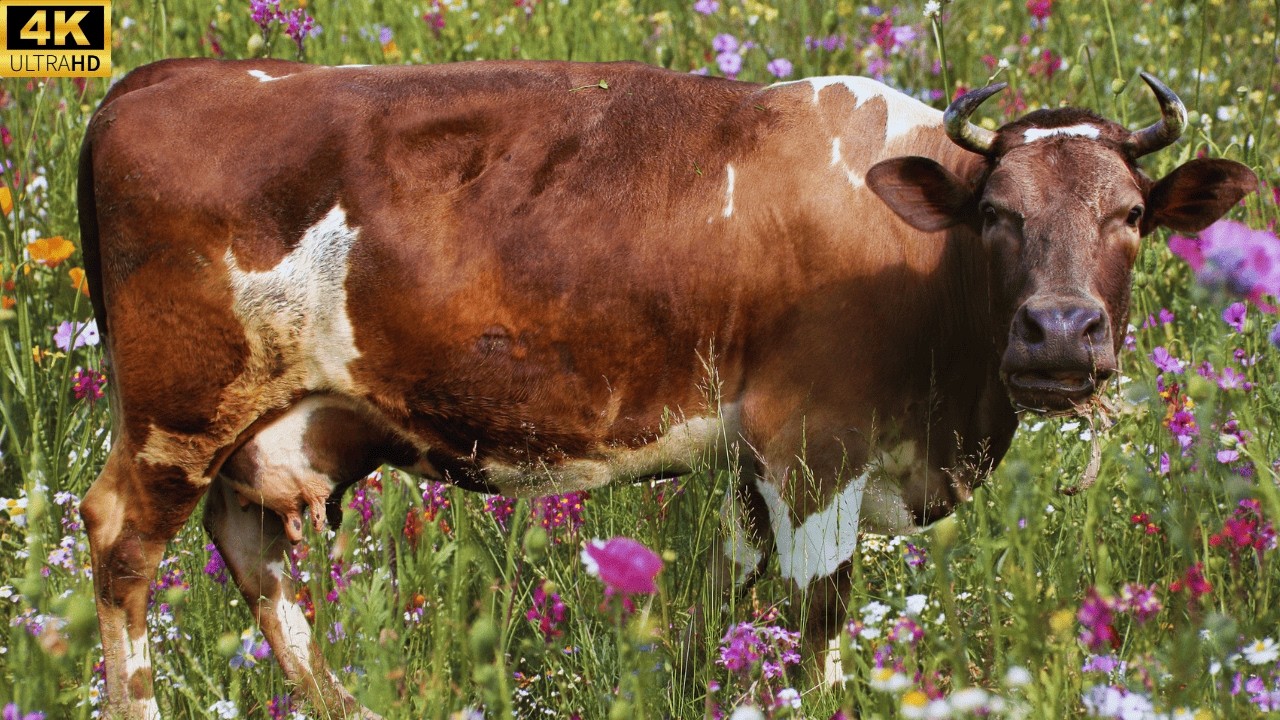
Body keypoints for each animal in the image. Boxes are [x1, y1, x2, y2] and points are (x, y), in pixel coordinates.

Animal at [77, 58, 1256, 719]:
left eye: (1130, 215)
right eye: (998, 213)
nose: (1059, 332)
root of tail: (166, 74)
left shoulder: (753, 462)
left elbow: (727, 605)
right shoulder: (814, 442)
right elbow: (818, 616)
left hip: (264, 426)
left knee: (253, 554)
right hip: (177, 416)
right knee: (121, 542)